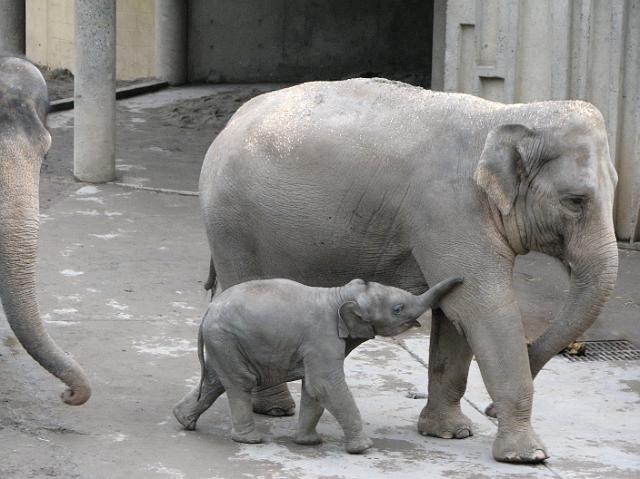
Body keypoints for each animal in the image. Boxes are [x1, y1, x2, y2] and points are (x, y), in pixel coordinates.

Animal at [172, 278, 462, 454]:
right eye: (398, 309)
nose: (460, 279)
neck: (340, 294)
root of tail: (207, 313)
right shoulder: (322, 339)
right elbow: (325, 385)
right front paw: (364, 448)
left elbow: (313, 389)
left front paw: (308, 443)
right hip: (225, 338)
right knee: (241, 382)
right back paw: (250, 440)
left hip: (224, 343)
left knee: (216, 381)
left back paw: (182, 419)